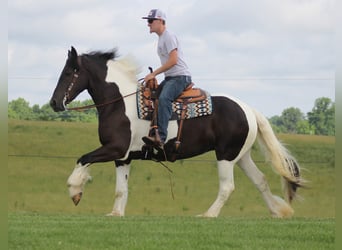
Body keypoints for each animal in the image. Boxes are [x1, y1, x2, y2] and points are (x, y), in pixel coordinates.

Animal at [49, 46, 304, 217]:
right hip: (241, 156)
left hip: (225, 155)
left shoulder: (114, 149)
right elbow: (121, 189)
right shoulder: (123, 157)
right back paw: (277, 211)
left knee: (227, 186)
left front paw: (75, 192)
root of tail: (249, 109)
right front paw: (116, 214)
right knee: (260, 181)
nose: (54, 103)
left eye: (69, 72)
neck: (119, 102)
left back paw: (208, 215)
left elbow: (83, 159)